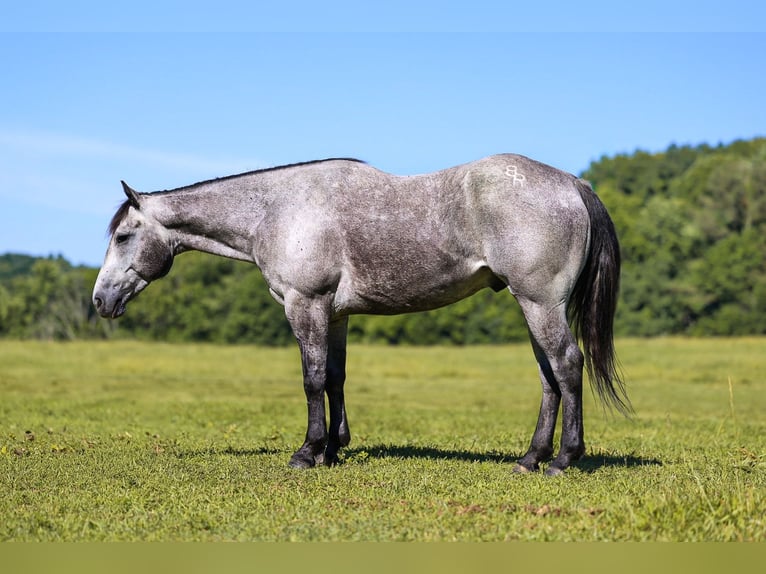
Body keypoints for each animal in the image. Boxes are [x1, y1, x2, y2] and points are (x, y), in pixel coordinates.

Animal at [92, 154, 629, 475]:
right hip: (532, 306)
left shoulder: (304, 304)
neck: (277, 209)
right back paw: (530, 458)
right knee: (549, 379)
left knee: (567, 367)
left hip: (540, 304)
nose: (100, 300)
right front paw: (333, 448)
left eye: (123, 236)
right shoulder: (335, 314)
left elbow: (311, 380)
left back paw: (563, 459)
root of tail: (573, 183)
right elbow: (334, 378)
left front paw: (307, 452)